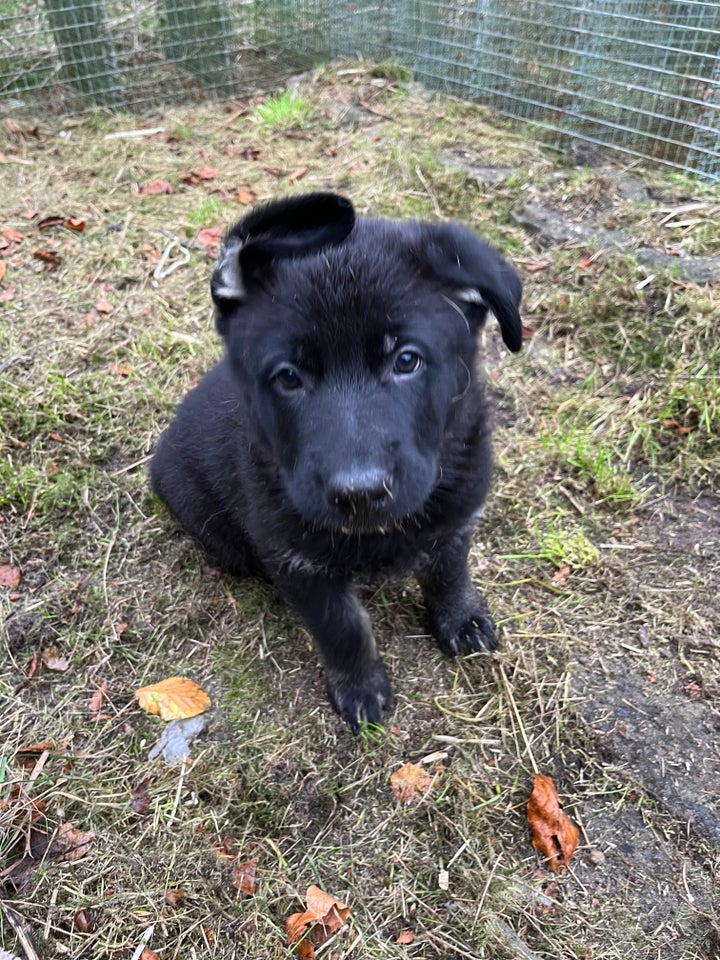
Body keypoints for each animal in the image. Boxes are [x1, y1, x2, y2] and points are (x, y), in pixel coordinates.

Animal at [152, 193, 524, 728]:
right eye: (289, 376)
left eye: (406, 361)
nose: (359, 493)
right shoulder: (298, 559)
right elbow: (343, 628)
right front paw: (360, 688)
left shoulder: (458, 513)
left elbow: (450, 571)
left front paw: (462, 618)